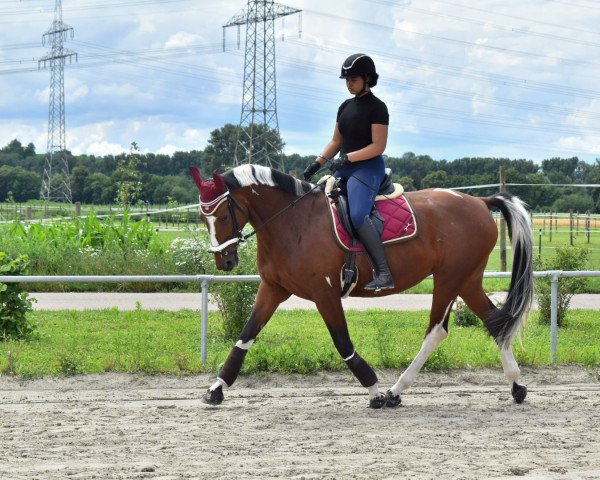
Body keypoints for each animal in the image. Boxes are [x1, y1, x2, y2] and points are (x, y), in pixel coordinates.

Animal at [190, 164, 532, 408]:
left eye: (222, 216)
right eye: (202, 218)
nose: (224, 262)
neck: (293, 222)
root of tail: (479, 201)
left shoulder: (325, 294)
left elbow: (343, 343)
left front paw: (374, 392)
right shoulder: (272, 289)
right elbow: (245, 336)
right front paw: (216, 389)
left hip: (450, 277)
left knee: (437, 331)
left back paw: (395, 391)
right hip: (466, 279)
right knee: (494, 322)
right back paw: (516, 386)